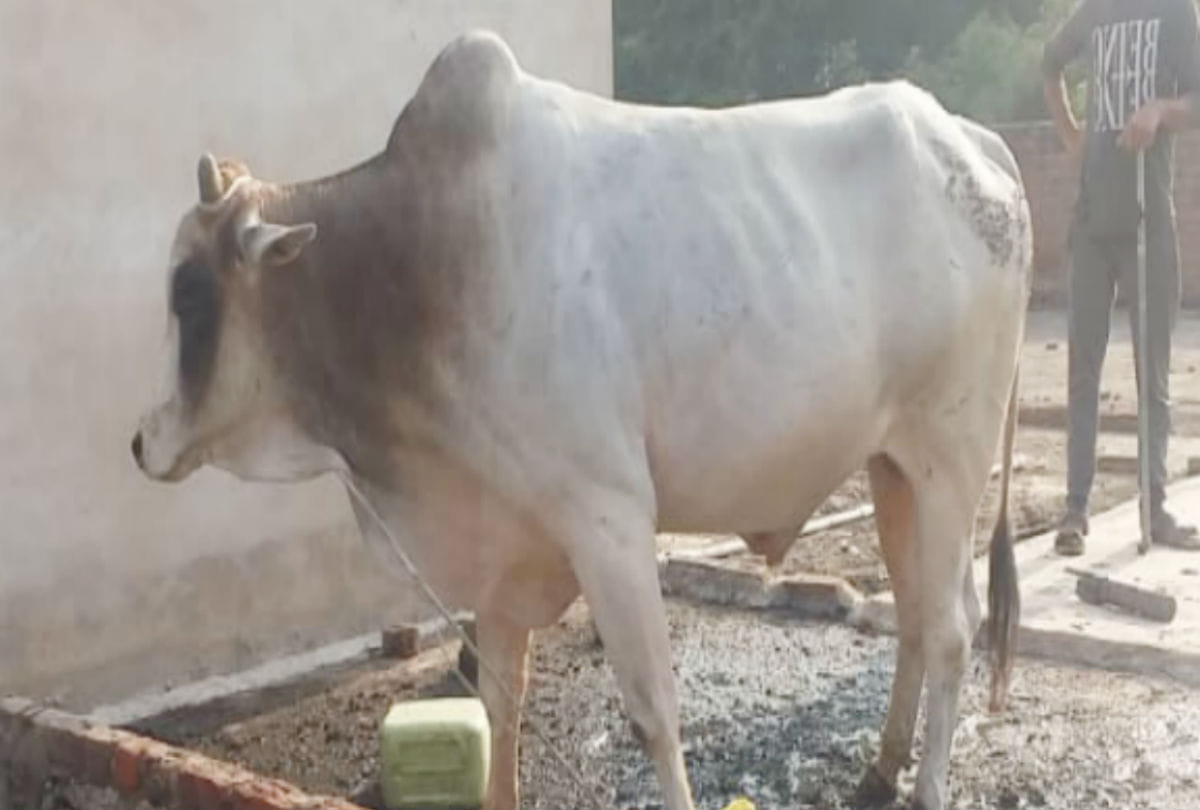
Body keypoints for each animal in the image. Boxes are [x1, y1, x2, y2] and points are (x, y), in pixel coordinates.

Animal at [132, 30, 1029, 810]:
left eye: (189, 291)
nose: (143, 441)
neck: (422, 263)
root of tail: (970, 138)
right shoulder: (502, 549)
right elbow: (500, 703)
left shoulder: (609, 519)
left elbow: (653, 713)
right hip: (892, 467)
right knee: (917, 614)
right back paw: (880, 771)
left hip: (953, 458)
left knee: (953, 627)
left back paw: (927, 786)